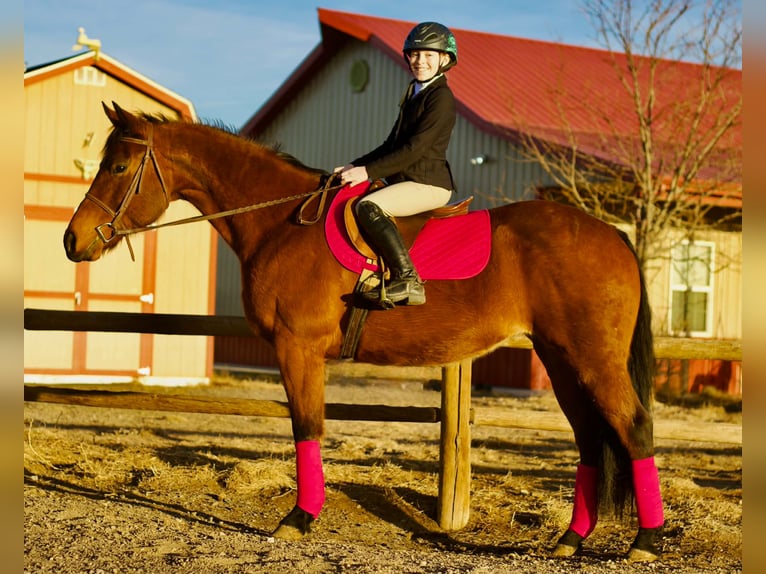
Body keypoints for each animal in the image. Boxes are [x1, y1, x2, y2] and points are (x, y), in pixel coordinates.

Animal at [63, 103, 664, 562]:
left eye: (118, 166)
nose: (73, 242)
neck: (281, 225)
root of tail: (611, 234)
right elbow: (308, 427)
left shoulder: (298, 348)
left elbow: (307, 427)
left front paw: (299, 518)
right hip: (561, 359)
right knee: (590, 439)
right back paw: (570, 539)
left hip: (592, 358)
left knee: (634, 428)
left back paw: (646, 542)